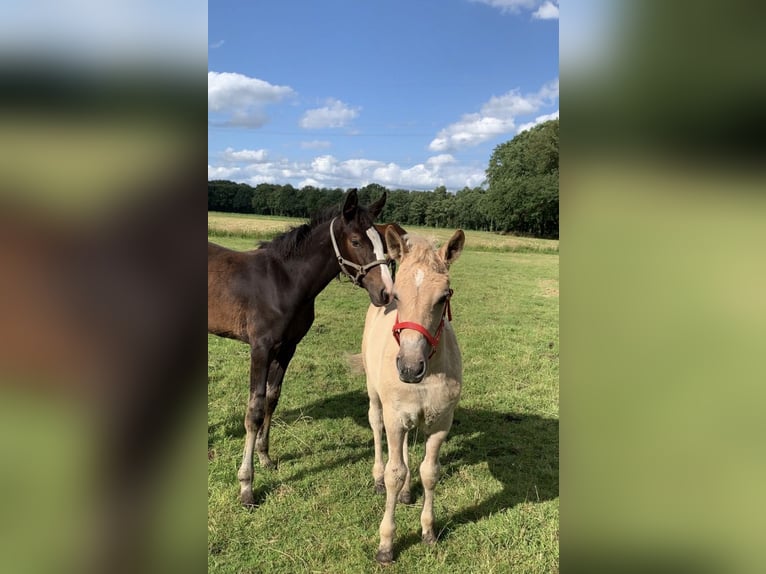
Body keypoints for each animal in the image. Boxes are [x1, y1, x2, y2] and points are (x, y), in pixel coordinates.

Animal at [207, 191, 392, 506]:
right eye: (356, 241)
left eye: (381, 239)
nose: (386, 293)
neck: (283, 282)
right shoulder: (260, 348)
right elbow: (254, 410)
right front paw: (246, 486)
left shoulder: (287, 348)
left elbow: (272, 399)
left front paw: (265, 457)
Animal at [364, 227, 464, 564]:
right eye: (397, 295)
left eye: (444, 296)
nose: (409, 368)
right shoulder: (395, 419)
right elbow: (394, 473)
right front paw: (386, 545)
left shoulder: (441, 423)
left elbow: (429, 472)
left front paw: (428, 532)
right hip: (375, 395)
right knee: (376, 424)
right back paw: (377, 478)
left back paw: (408, 491)